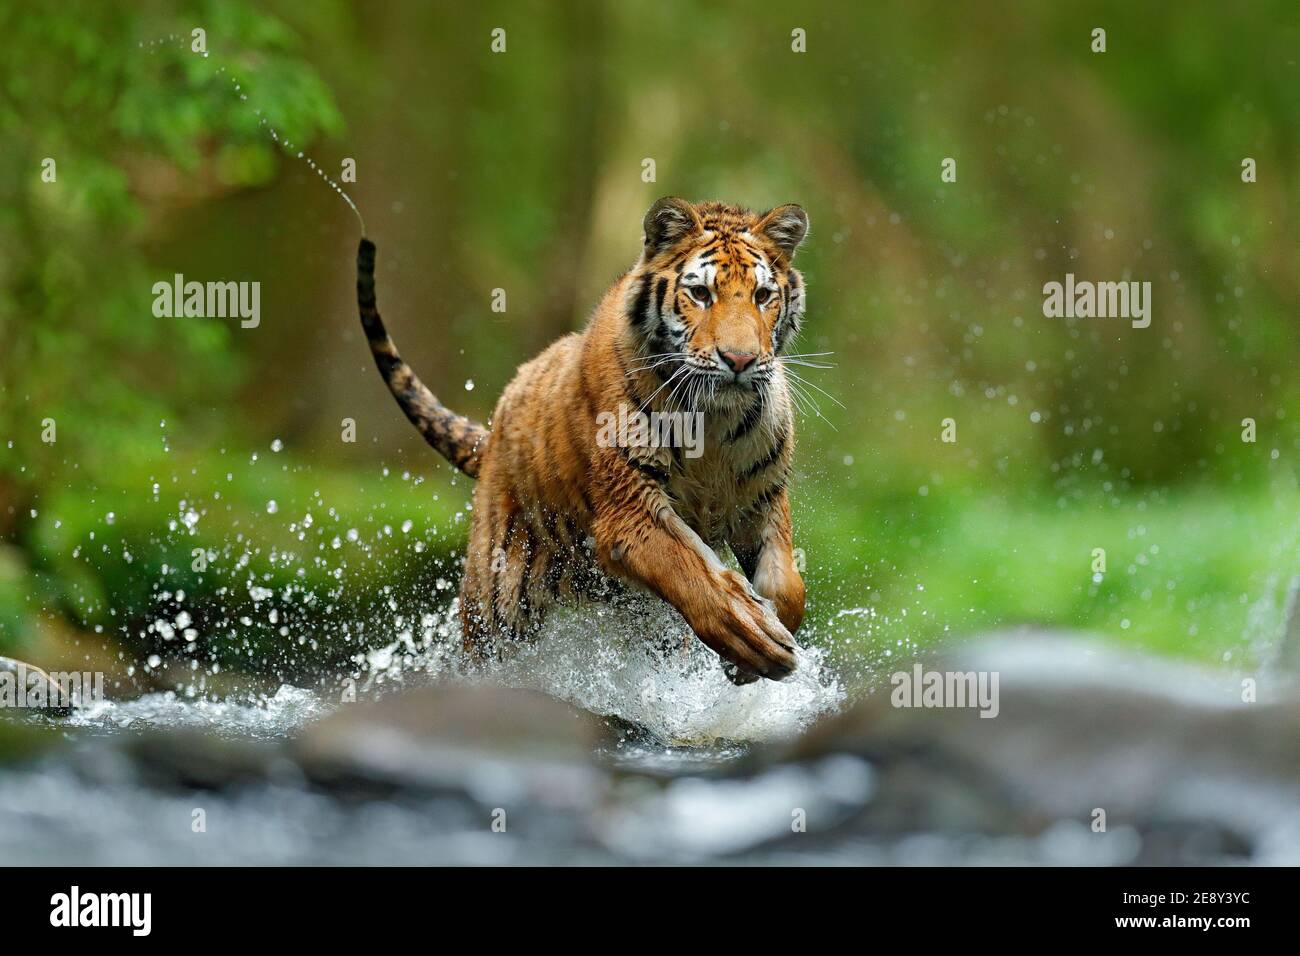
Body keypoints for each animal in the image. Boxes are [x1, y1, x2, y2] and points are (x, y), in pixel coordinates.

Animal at [356, 197, 810, 683]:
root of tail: (494, 431)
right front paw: (751, 635)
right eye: (701, 294)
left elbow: (789, 585)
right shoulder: (631, 509)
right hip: (497, 601)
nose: (739, 360)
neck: (714, 422)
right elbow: (693, 573)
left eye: (762, 296)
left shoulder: (761, 499)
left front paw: (755, 648)